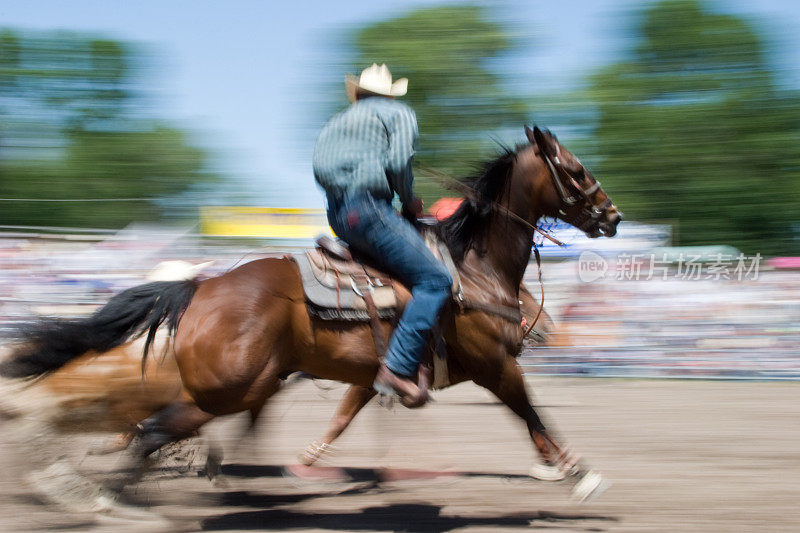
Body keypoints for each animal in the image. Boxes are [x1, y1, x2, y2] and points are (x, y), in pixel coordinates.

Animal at [0, 124, 620, 498]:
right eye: (575, 167)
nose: (612, 216)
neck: (472, 271)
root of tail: (200, 287)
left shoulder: (378, 373)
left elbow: (344, 415)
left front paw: (314, 461)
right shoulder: (496, 367)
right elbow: (534, 416)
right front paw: (580, 474)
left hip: (247, 386)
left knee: (168, 431)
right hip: (231, 387)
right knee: (153, 431)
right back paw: (115, 492)